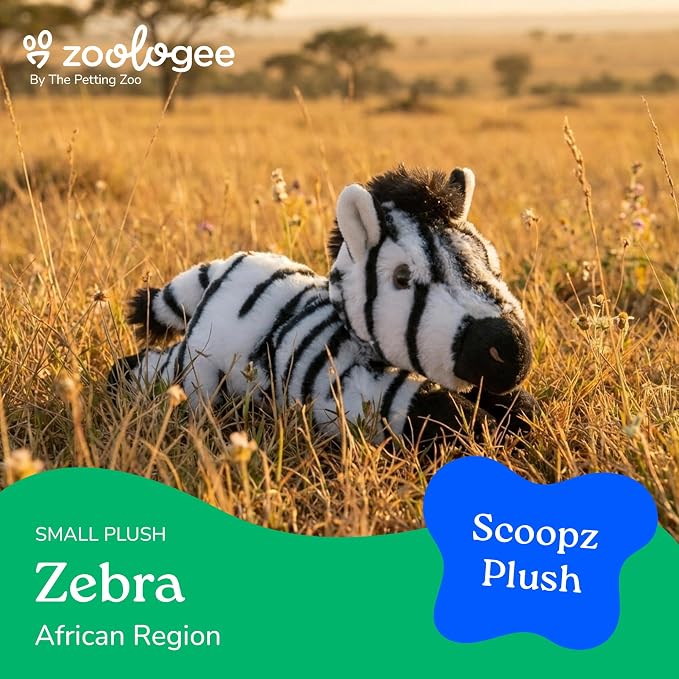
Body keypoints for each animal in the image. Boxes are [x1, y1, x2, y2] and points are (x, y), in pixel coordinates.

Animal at [108, 166, 536, 451]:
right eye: (402, 278)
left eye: (490, 263)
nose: (511, 350)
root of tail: (229, 264)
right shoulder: (349, 396)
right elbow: (442, 414)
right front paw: (484, 431)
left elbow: (519, 406)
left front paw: (516, 418)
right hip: (202, 364)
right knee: (157, 371)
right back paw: (119, 382)